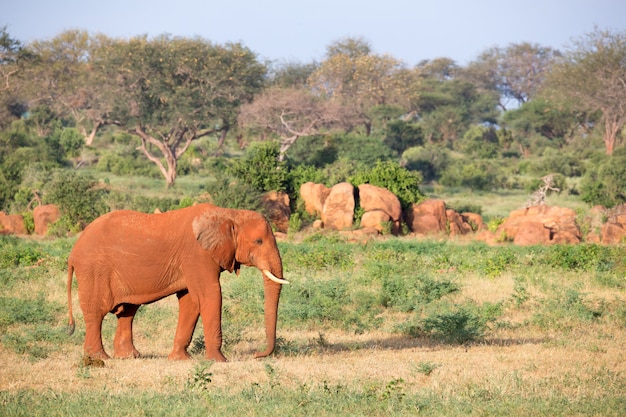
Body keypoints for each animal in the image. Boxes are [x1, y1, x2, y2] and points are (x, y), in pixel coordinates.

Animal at [66, 203, 288, 360]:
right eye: (258, 241)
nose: (257, 354)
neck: (229, 213)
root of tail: (73, 250)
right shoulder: (197, 254)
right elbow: (210, 295)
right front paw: (219, 361)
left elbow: (190, 301)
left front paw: (180, 359)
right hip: (93, 270)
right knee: (96, 312)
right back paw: (99, 358)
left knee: (128, 311)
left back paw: (129, 357)